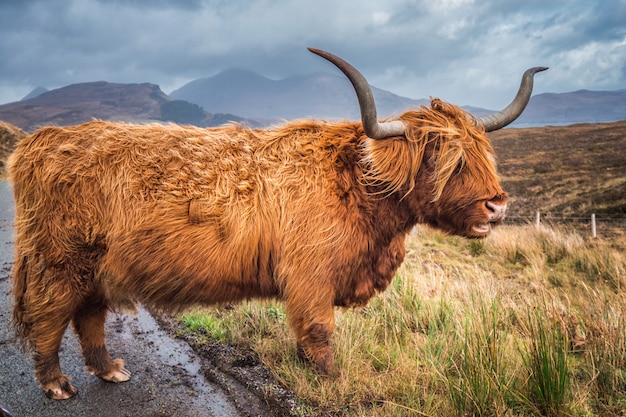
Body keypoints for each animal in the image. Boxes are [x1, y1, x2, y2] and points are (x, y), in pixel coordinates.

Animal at [7, 47, 544, 398]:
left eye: (482, 153)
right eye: (444, 159)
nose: (497, 206)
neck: (360, 187)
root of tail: (40, 142)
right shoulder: (311, 276)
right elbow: (320, 331)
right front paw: (334, 381)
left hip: (95, 267)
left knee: (89, 316)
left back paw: (108, 370)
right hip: (60, 262)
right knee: (50, 317)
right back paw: (56, 384)